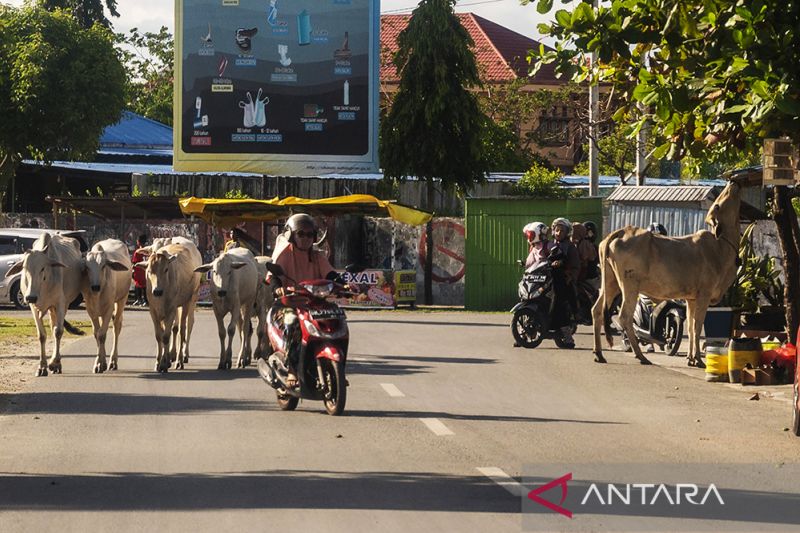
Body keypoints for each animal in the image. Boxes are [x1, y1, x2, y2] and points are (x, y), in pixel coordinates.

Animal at [6, 233, 84, 374]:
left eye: (42, 268)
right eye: (24, 268)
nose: (30, 297)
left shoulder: (60, 303)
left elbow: (58, 331)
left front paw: (55, 363)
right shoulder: (33, 307)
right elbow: (41, 335)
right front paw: (42, 366)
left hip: (62, 305)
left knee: (56, 329)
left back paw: (55, 363)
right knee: (52, 326)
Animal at [80, 239, 131, 372]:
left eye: (103, 266)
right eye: (87, 267)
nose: (95, 287)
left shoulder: (108, 309)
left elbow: (102, 335)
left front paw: (101, 364)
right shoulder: (91, 311)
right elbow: (96, 334)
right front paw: (99, 362)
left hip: (122, 299)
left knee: (117, 326)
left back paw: (113, 361)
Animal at [138, 241, 200, 370]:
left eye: (166, 269)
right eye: (149, 270)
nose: (157, 291)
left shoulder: (171, 310)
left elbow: (166, 336)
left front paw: (163, 363)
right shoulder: (153, 311)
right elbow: (159, 336)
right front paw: (159, 362)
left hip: (190, 301)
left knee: (184, 328)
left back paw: (181, 359)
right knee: (176, 329)